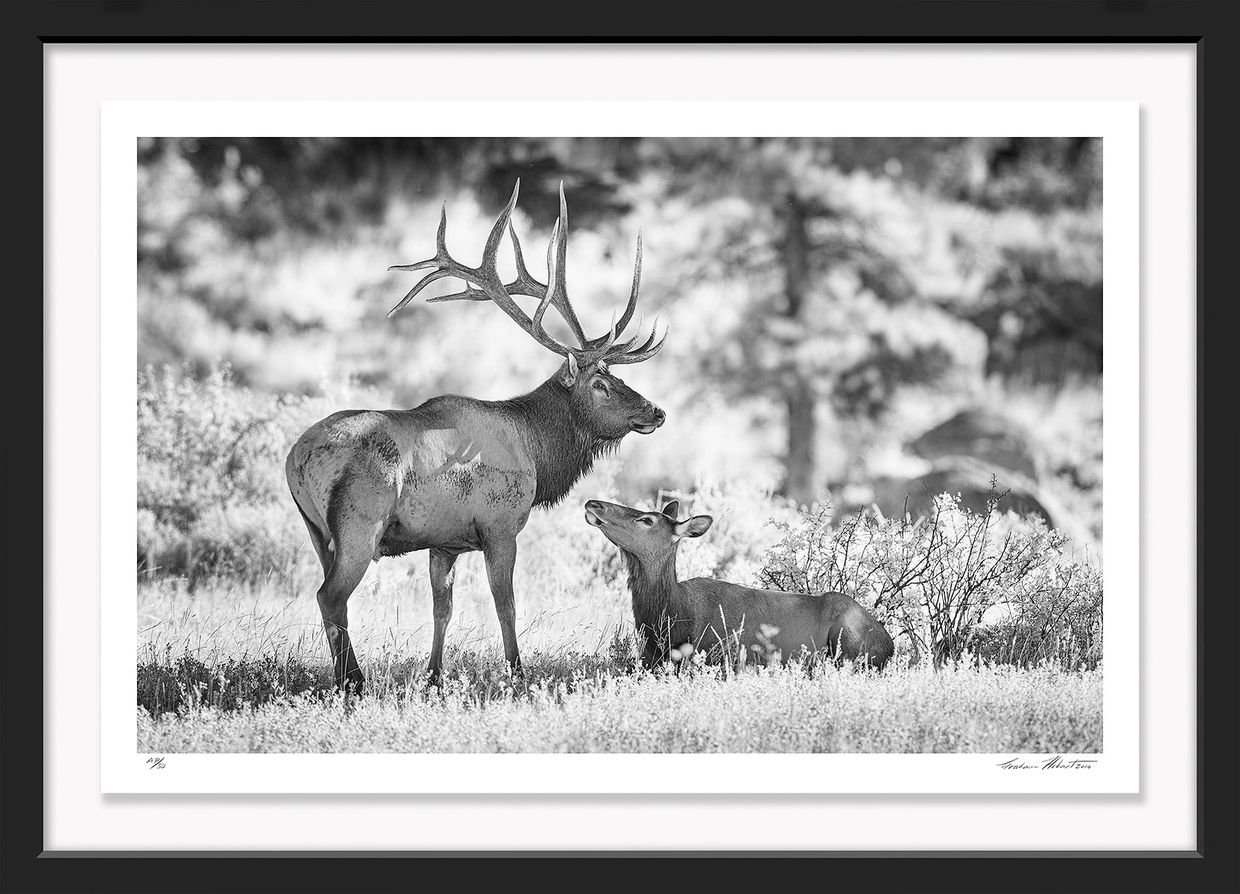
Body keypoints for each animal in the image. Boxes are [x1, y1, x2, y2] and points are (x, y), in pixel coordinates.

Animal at [286, 181, 667, 694]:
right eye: (600, 383)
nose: (655, 411)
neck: (537, 450)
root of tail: (295, 458)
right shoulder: (500, 526)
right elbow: (506, 605)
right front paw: (518, 673)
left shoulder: (444, 542)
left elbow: (442, 610)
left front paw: (433, 677)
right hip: (360, 522)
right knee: (331, 597)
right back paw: (354, 683)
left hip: (315, 531)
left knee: (331, 597)